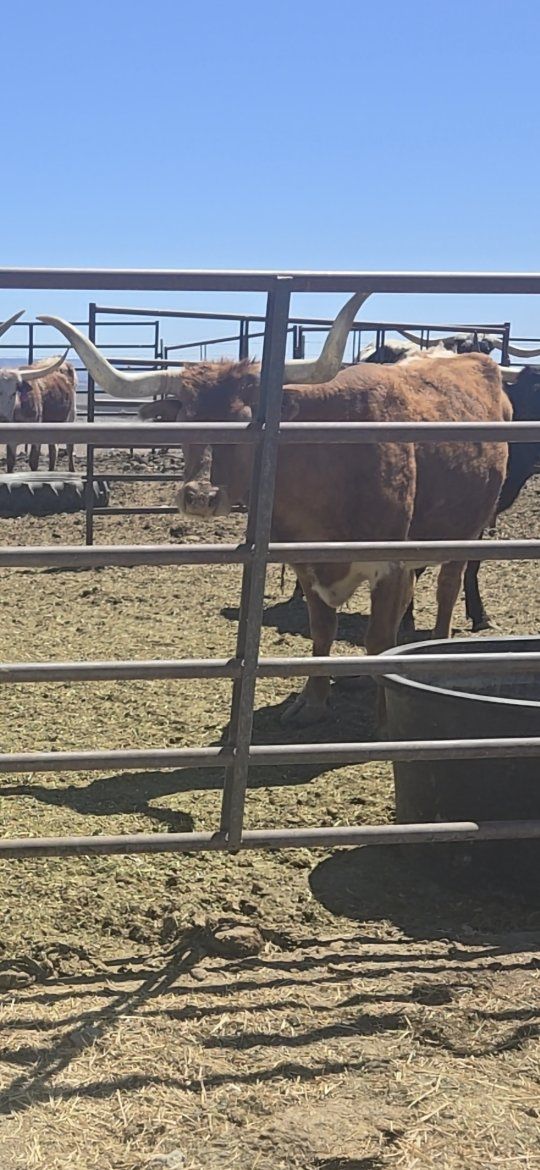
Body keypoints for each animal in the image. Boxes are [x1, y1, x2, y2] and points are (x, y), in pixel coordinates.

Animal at [39, 305, 510, 727]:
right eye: (188, 419)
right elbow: (323, 630)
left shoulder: (388, 564)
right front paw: (313, 703)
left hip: (468, 530)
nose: (200, 496)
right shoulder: (305, 562)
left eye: (248, 421)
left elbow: (377, 637)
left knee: (447, 590)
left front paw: (382, 719)